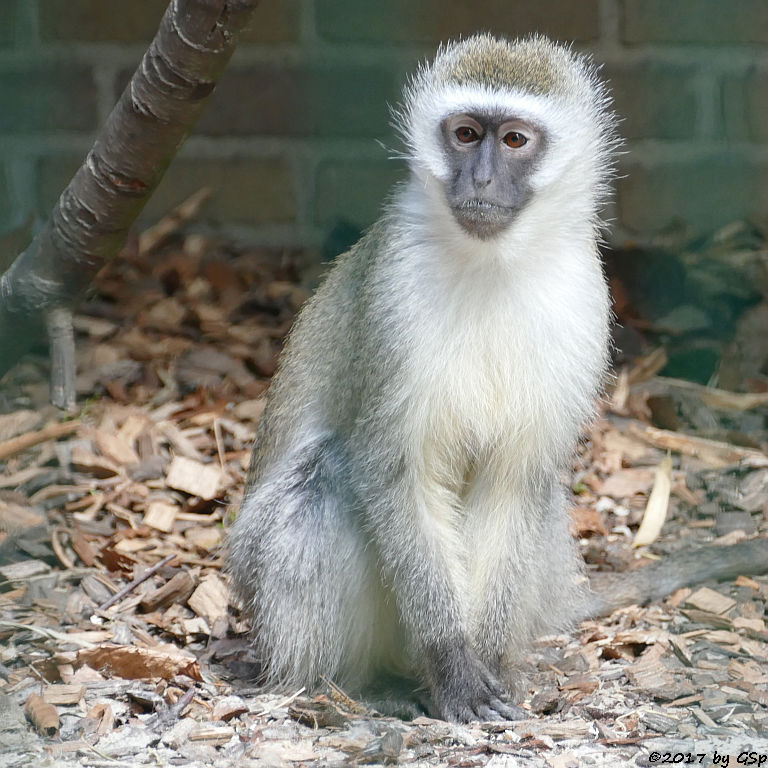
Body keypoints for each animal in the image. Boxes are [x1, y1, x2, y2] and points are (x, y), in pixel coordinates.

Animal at [226, 34, 768, 720]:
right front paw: (456, 665)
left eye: (513, 140)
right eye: (464, 134)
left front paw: (484, 659)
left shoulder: (584, 297)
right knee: (324, 476)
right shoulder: (393, 295)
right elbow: (393, 470)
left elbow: (517, 477)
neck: (492, 262)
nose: (480, 178)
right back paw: (343, 686)